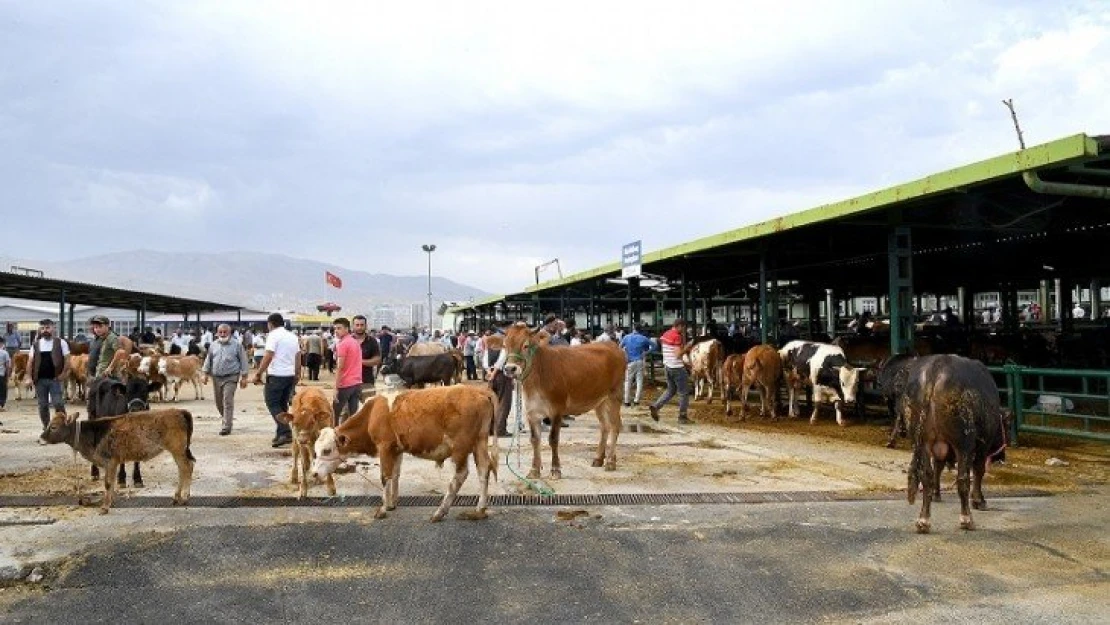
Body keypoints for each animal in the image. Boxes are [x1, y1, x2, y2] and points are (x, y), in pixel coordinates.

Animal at [41, 408, 196, 515]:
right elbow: (112, 482)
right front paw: (111, 502)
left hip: (177, 449)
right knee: (183, 468)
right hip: (179, 451)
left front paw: (104, 507)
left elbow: (108, 483)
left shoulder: (110, 461)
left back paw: (184, 497)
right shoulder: (112, 463)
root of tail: (179, 411)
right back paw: (176, 497)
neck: (93, 434)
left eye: (53, 426)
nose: (41, 437)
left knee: (186, 467)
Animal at [308, 386, 499, 523]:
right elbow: (395, 474)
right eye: (315, 451)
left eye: (326, 450)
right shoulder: (396, 450)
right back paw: (479, 511)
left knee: (460, 475)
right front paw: (392, 503)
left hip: (459, 447)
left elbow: (385, 476)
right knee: (484, 469)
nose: (314, 473)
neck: (372, 413)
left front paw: (383, 509)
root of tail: (479, 391)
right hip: (480, 442)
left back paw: (440, 512)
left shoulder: (384, 447)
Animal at [501, 321, 626, 479]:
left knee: (615, 426)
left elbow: (553, 439)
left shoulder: (557, 410)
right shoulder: (531, 412)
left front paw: (555, 469)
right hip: (600, 401)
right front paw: (534, 470)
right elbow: (535, 440)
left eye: (526, 345)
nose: (510, 369)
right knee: (605, 426)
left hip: (615, 396)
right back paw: (599, 459)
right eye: (505, 345)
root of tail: (612, 345)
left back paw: (610, 461)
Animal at [905, 357, 1012, 532]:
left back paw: (923, 520)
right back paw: (966, 519)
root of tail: (938, 364)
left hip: (921, 441)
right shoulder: (982, 446)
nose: (1002, 456)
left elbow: (938, 468)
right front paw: (979, 500)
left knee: (927, 475)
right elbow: (978, 471)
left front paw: (937, 495)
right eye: (1008, 427)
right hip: (963, 442)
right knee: (963, 479)